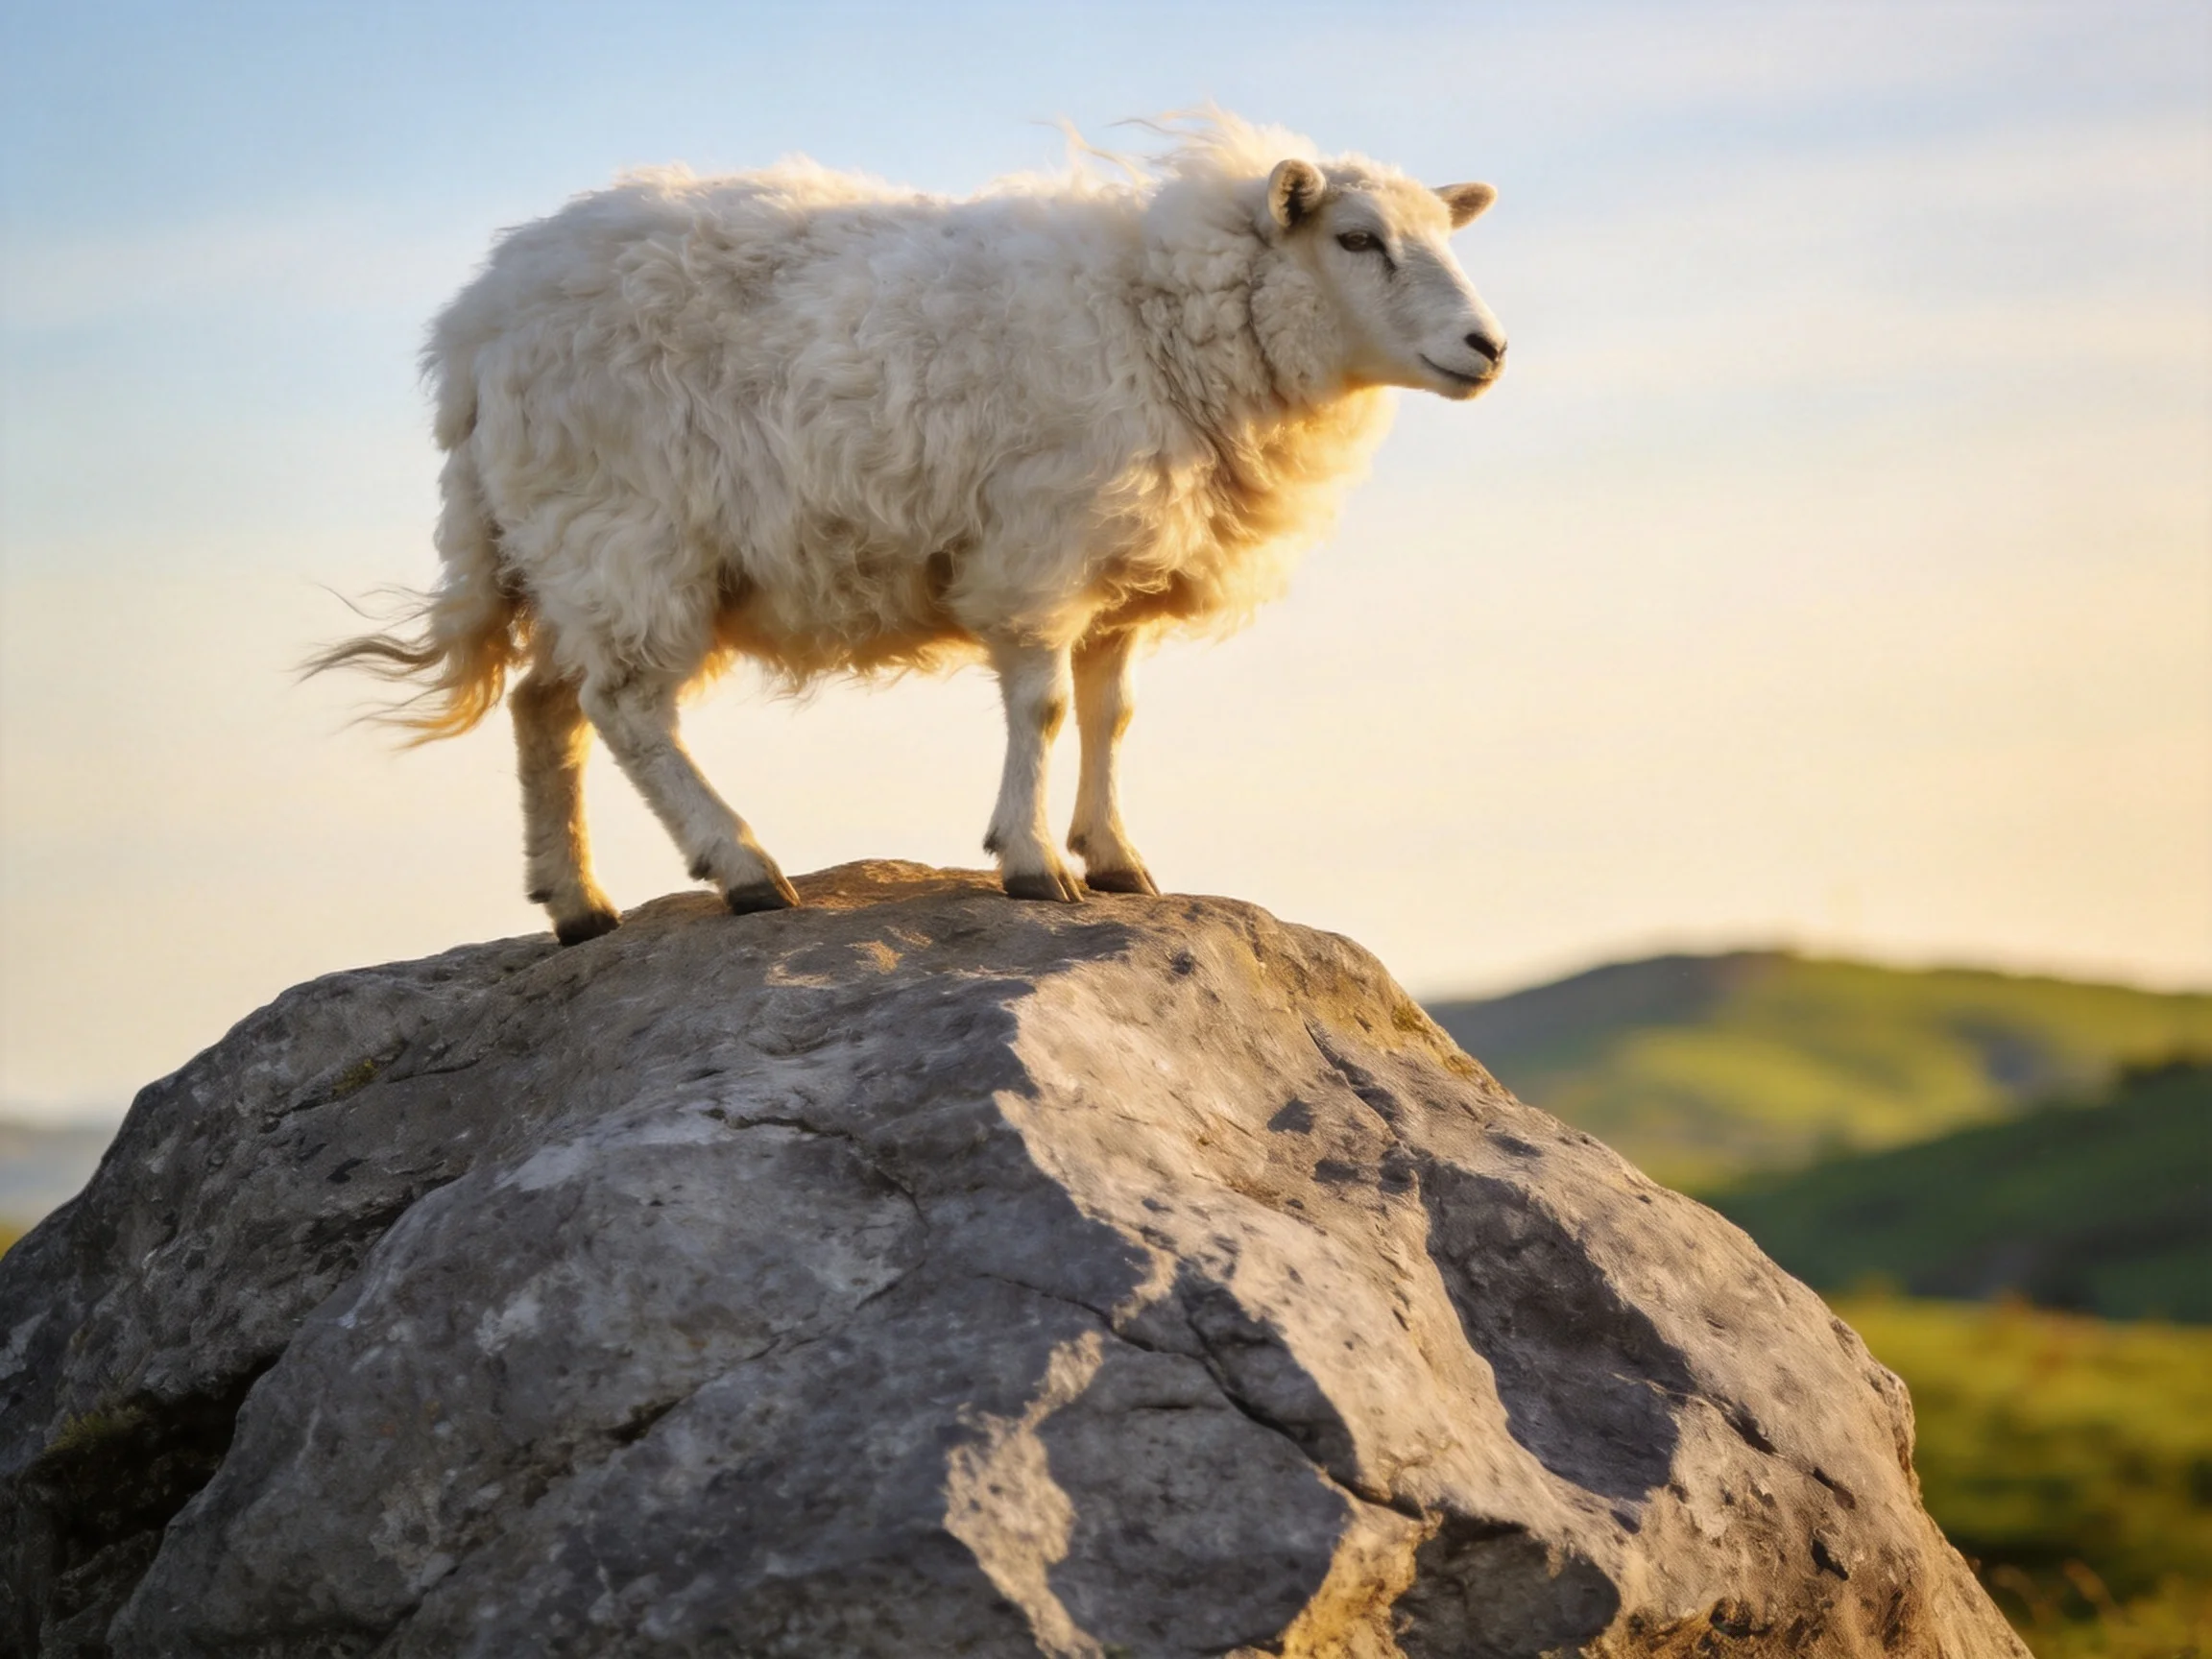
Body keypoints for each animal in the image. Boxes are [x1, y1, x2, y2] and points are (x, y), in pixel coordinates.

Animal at [313, 114, 1506, 943]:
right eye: (1357, 239)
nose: (1487, 347)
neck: (1161, 315)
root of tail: (472, 329)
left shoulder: (1119, 560)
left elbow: (1112, 714)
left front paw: (1115, 856)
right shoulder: (1039, 549)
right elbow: (1045, 707)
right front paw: (1032, 862)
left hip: (571, 554)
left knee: (542, 709)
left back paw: (577, 903)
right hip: (626, 535)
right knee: (625, 711)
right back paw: (743, 869)